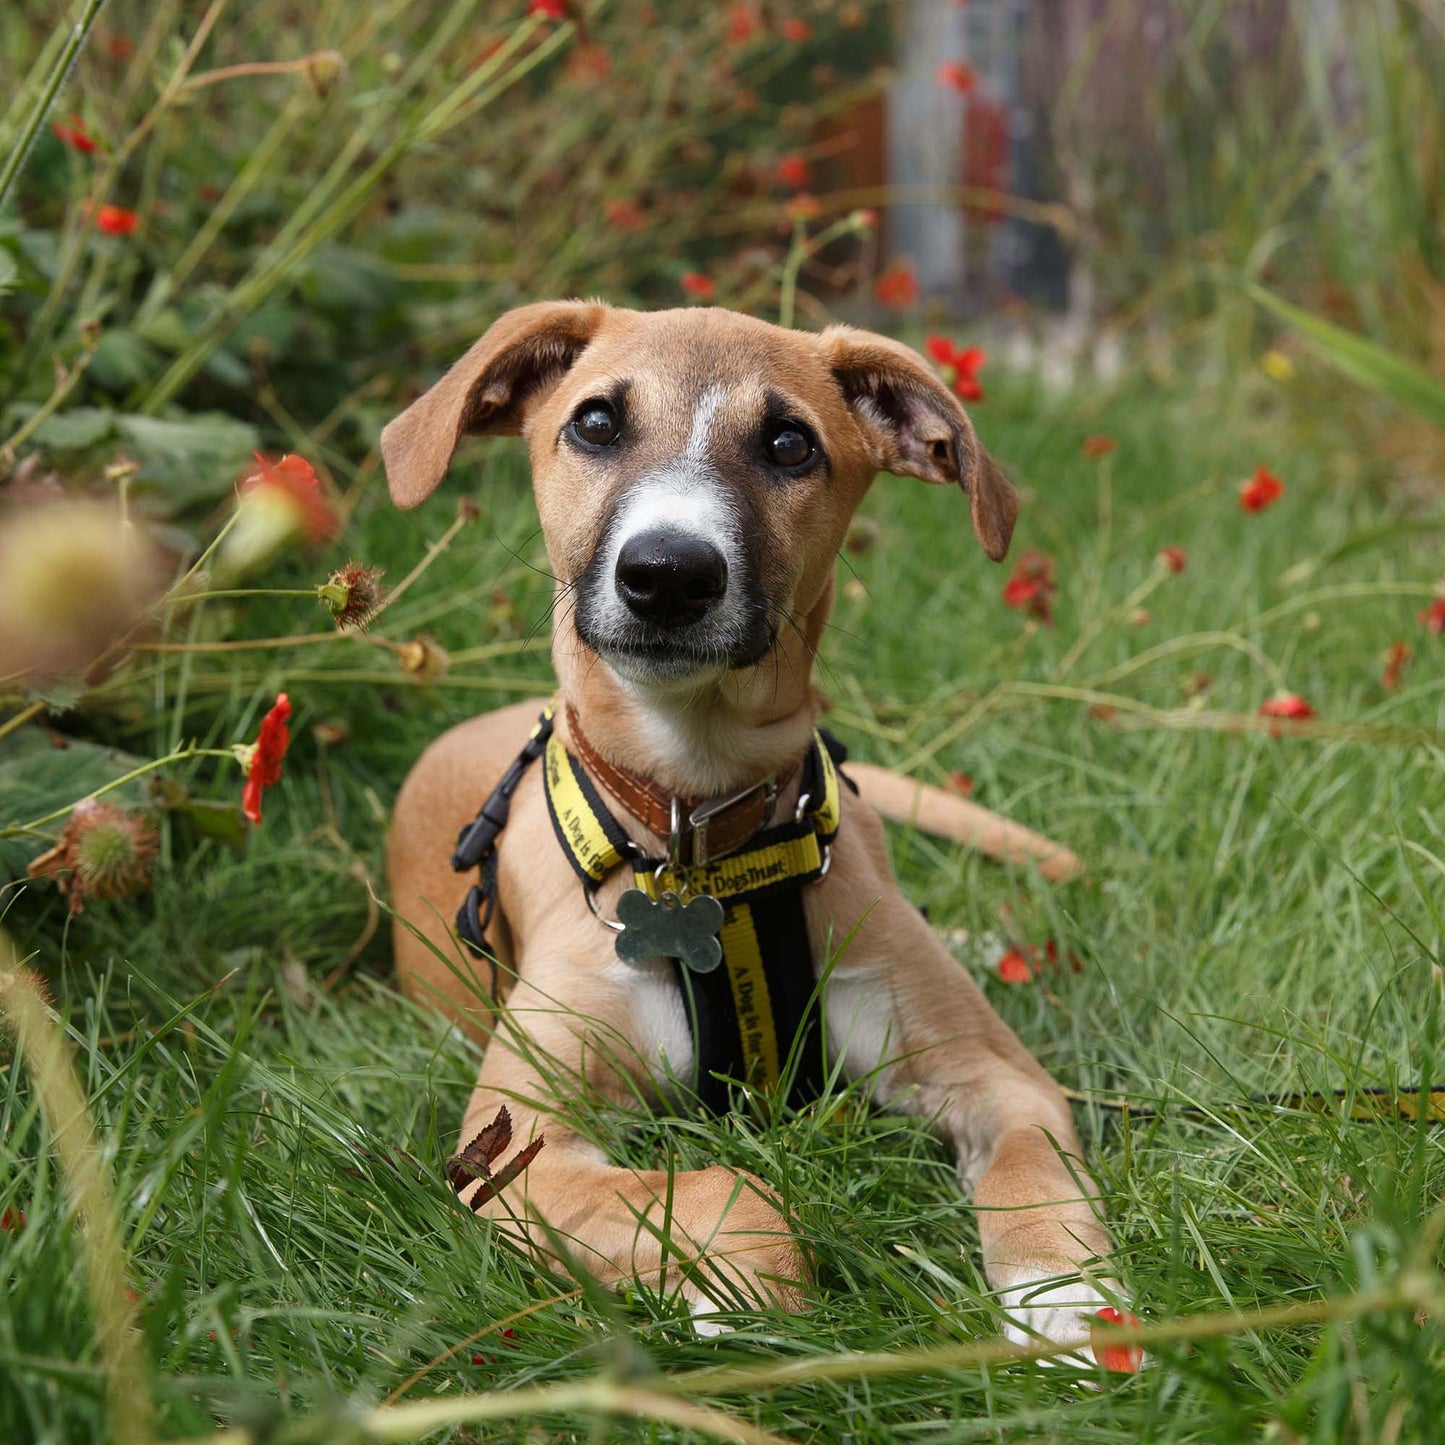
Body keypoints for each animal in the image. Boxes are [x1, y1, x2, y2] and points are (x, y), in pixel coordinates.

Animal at [381, 299, 1115, 1346]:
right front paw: (743, 1301)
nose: (668, 573)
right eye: (595, 422)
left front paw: (1069, 1305)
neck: (698, 834)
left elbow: (1032, 1175)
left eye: (789, 443)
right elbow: (723, 1190)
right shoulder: (512, 1144)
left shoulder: (1004, 1081)